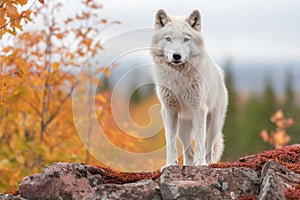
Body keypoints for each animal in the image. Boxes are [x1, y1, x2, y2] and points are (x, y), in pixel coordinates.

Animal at [150, 9, 227, 166]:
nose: (176, 56)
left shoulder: (199, 109)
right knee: (188, 152)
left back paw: (208, 164)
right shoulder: (169, 110)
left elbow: (199, 142)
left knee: (208, 148)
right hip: (182, 128)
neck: (178, 77)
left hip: (213, 126)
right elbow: (170, 143)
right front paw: (169, 165)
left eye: (186, 39)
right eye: (168, 39)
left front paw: (201, 165)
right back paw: (187, 165)